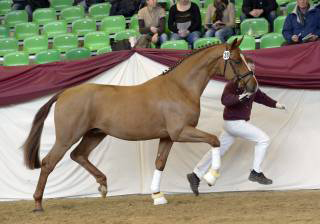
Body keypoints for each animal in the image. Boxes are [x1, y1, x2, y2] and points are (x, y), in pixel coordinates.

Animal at [23, 37, 258, 211]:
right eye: (237, 60)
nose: (253, 86)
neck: (179, 88)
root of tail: (65, 92)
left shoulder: (167, 137)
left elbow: (160, 163)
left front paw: (158, 196)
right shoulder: (181, 132)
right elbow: (214, 140)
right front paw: (211, 177)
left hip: (94, 134)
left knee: (78, 155)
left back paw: (103, 185)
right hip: (67, 137)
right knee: (48, 163)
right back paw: (38, 204)